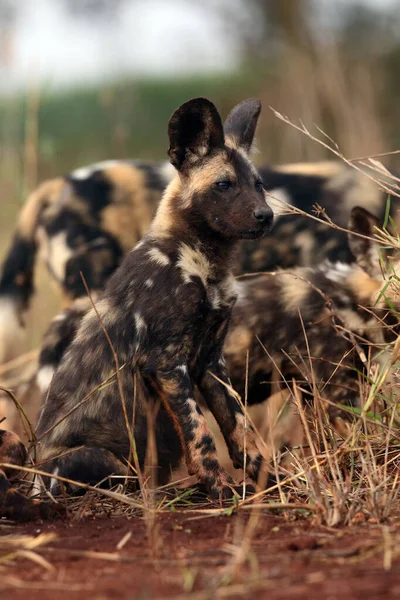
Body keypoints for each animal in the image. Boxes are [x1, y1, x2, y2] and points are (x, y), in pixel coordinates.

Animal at [34, 97, 274, 496]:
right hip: (102, 462)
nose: (266, 215)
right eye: (224, 185)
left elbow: (240, 426)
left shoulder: (210, 362)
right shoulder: (166, 364)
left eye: (259, 185)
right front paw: (220, 488)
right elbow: (201, 434)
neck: (202, 260)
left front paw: (268, 481)